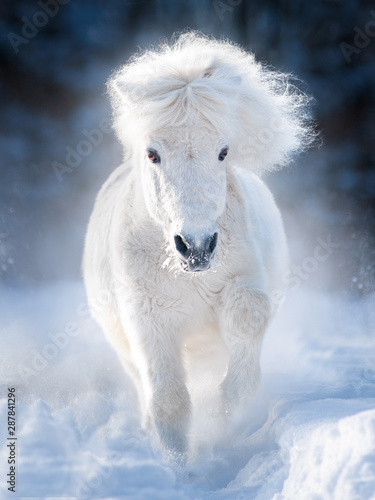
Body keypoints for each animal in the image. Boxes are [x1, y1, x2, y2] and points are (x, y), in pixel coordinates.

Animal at [83, 31, 312, 460]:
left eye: (223, 151)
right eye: (152, 153)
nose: (197, 246)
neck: (186, 276)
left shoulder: (244, 286)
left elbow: (247, 323)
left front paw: (226, 426)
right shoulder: (148, 319)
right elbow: (169, 402)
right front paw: (178, 464)